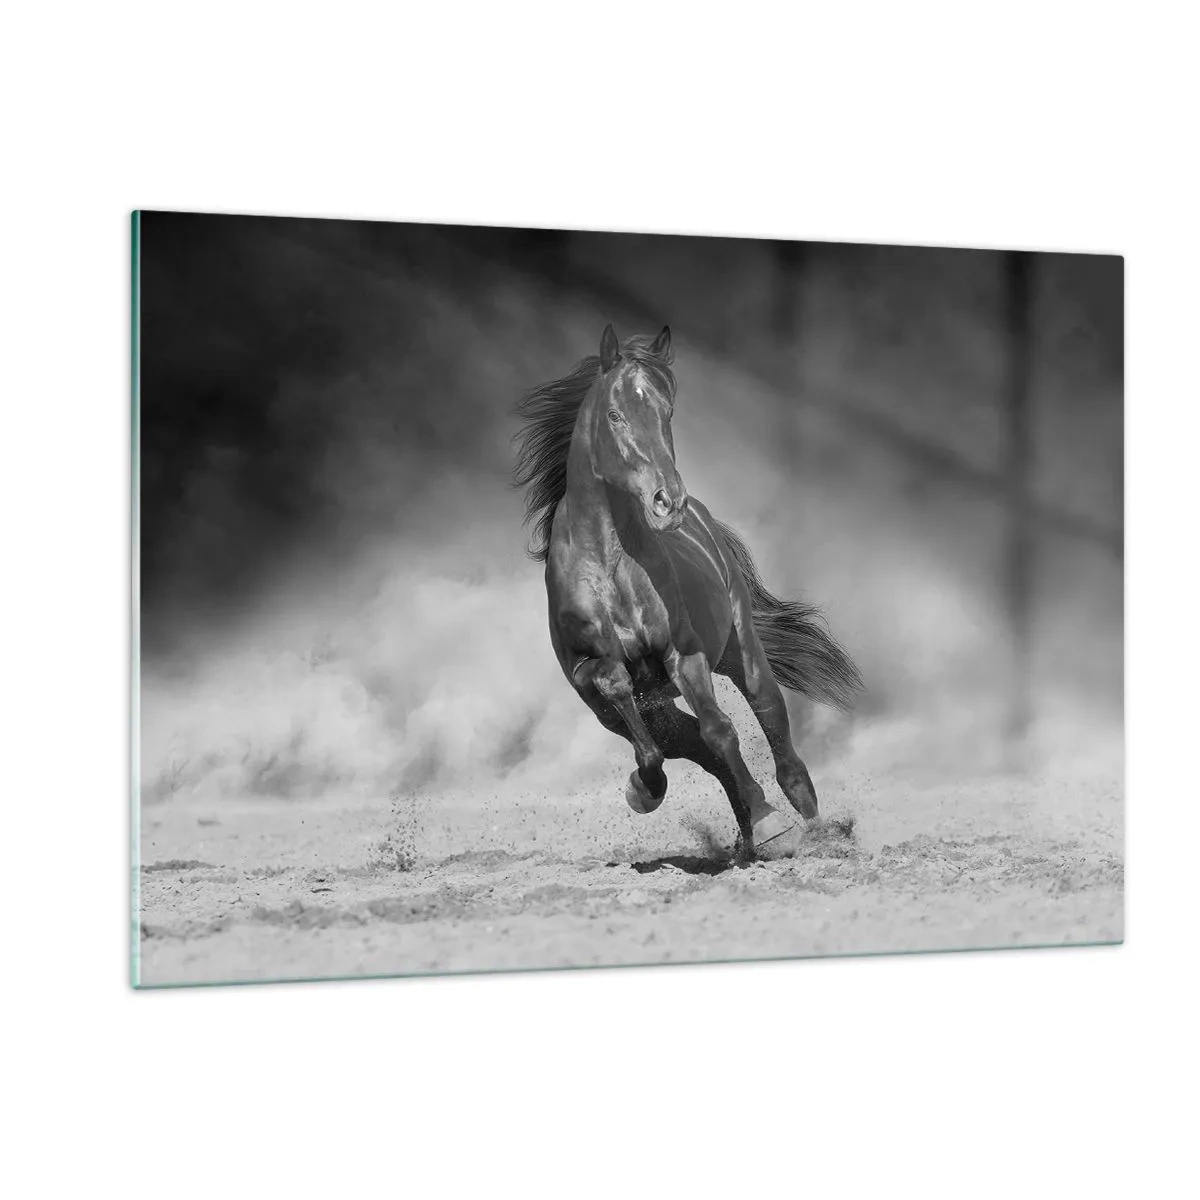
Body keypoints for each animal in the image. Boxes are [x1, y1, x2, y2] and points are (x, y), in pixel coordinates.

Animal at [514, 324, 862, 859]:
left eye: (667, 411)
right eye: (615, 414)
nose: (666, 500)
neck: (611, 567)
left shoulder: (684, 654)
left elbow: (721, 731)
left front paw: (770, 823)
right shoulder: (590, 678)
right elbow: (636, 711)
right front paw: (643, 790)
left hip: (744, 656)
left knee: (776, 738)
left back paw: (811, 832)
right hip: (640, 710)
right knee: (690, 745)